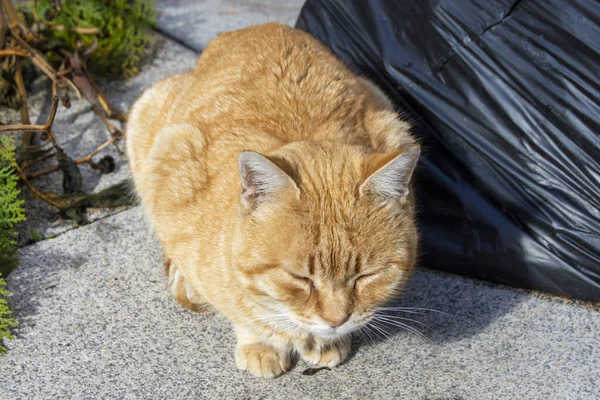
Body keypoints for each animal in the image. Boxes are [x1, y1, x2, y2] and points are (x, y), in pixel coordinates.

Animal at [126, 22, 420, 378]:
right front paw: (262, 341)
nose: (336, 321)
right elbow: (244, 311)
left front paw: (327, 341)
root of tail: (246, 29)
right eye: (300, 278)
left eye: (366, 277)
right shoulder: (172, 163)